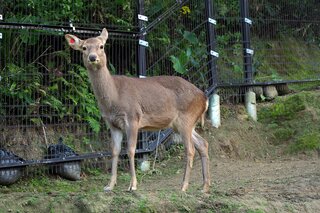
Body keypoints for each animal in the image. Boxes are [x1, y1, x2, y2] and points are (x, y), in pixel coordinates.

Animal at [64, 28, 210, 193]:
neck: (114, 97)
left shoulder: (132, 117)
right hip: (183, 124)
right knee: (203, 144)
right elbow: (115, 151)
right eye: (84, 48)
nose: (93, 57)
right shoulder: (112, 124)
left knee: (190, 149)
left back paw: (184, 186)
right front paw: (109, 185)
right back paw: (204, 186)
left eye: (101, 46)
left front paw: (132, 185)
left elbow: (131, 150)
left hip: (186, 118)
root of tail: (204, 98)